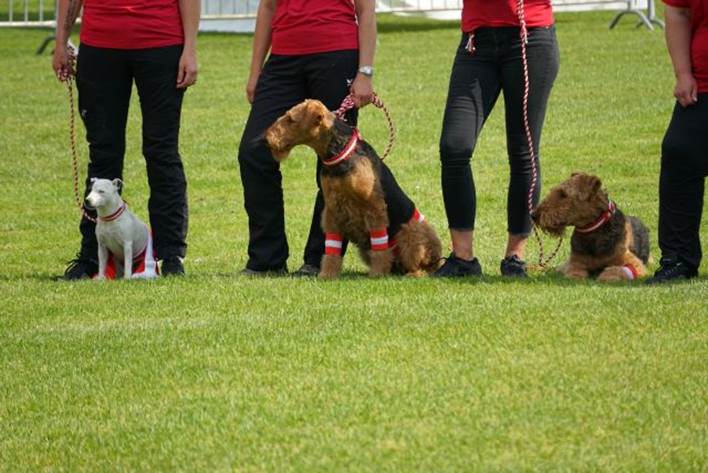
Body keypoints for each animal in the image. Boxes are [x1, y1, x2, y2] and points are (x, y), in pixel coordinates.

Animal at [266, 98, 442, 278]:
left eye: (290, 119)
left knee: (421, 264)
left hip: (411, 232)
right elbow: (331, 249)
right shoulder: (332, 208)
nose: (267, 138)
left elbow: (380, 248)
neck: (339, 152)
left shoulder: (374, 207)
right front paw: (327, 275)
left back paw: (414, 273)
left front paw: (377, 274)